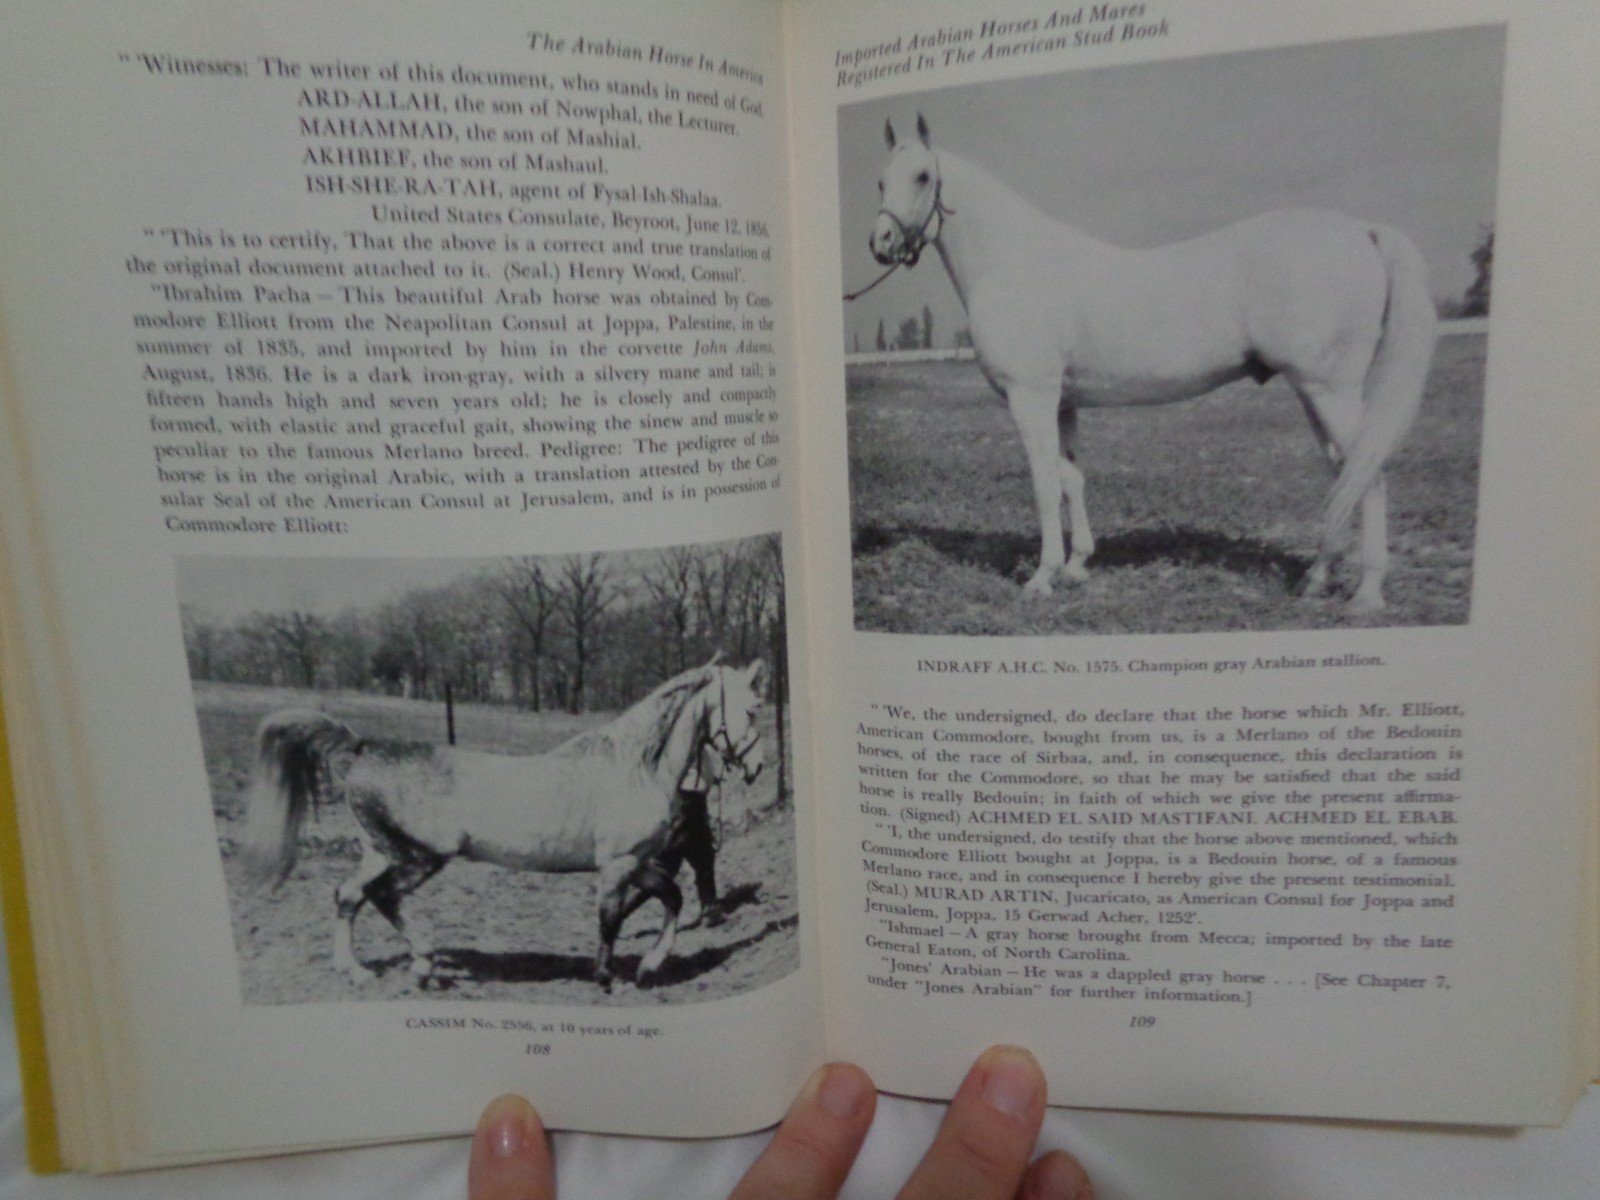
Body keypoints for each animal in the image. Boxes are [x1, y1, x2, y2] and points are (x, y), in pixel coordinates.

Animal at [239, 658, 767, 991]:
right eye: (752, 708)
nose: (758, 767)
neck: (636, 766)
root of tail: (364, 747)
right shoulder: (617, 865)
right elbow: (610, 920)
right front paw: (606, 977)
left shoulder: (637, 863)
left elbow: (671, 898)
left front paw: (648, 969)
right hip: (421, 856)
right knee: (383, 896)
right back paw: (424, 965)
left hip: (379, 851)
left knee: (348, 895)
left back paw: (356, 971)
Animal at [867, 115, 1438, 613]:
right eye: (879, 181)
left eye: (922, 176)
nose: (881, 243)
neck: (1014, 264)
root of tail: (1361, 231)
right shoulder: (1062, 402)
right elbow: (1072, 479)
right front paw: (1076, 566)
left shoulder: (1031, 397)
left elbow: (1045, 484)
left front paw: (1042, 577)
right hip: (1315, 393)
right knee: (1344, 473)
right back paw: (1317, 579)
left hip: (1331, 391)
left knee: (1368, 475)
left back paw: (1367, 594)